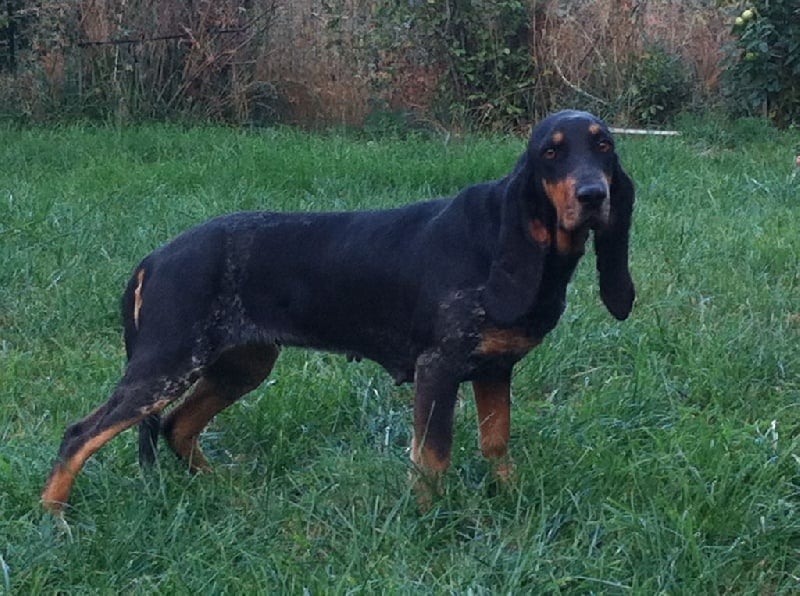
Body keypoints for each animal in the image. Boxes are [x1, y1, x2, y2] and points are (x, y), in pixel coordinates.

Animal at [43, 109, 636, 510]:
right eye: (551, 154)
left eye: (604, 146)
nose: (592, 195)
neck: (504, 240)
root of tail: (156, 256)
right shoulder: (438, 369)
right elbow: (432, 456)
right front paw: (426, 518)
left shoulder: (494, 370)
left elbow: (496, 444)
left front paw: (509, 501)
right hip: (165, 366)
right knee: (81, 434)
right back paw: (56, 516)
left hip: (240, 366)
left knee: (177, 427)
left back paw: (224, 490)